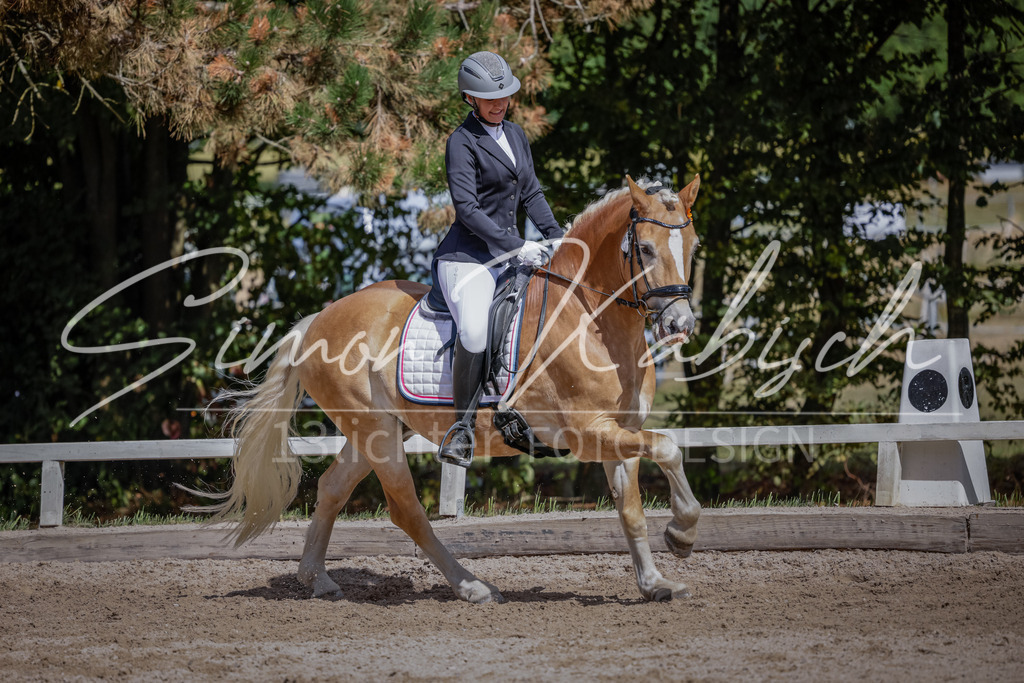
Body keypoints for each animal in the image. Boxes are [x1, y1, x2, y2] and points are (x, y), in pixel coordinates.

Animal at [210, 174, 703, 603]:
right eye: (644, 249)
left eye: (693, 246)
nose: (680, 325)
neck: (589, 318)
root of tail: (318, 320)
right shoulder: (586, 434)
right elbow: (667, 447)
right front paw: (682, 532)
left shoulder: (619, 430)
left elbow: (631, 508)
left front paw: (656, 582)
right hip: (377, 434)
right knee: (407, 511)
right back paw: (473, 587)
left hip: (377, 430)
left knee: (332, 488)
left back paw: (318, 580)